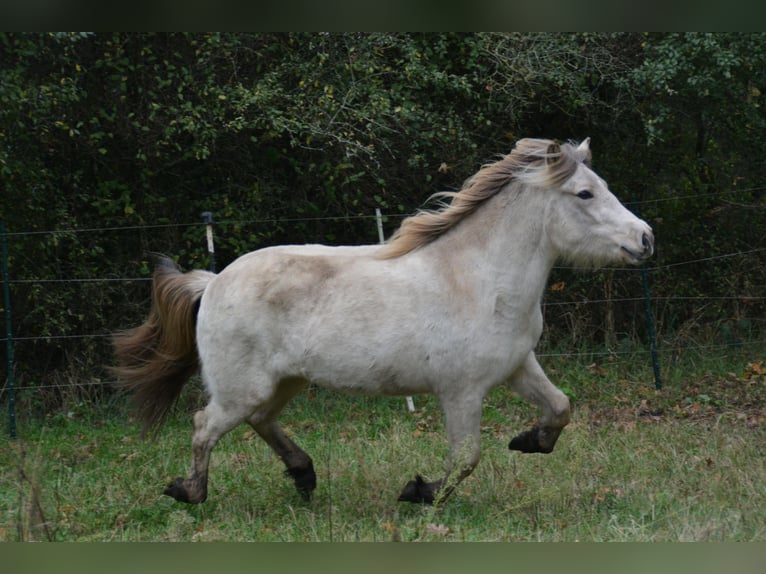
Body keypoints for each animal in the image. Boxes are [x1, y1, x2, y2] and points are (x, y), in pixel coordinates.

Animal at [112, 138, 654, 505]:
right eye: (584, 194)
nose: (645, 238)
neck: (479, 280)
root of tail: (213, 281)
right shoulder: (461, 391)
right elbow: (466, 458)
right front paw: (420, 492)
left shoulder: (519, 366)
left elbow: (560, 407)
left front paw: (530, 442)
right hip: (241, 388)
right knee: (205, 426)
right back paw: (190, 492)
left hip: (282, 382)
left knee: (260, 421)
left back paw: (304, 477)